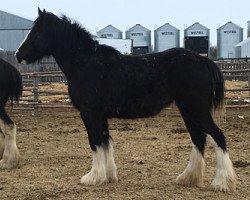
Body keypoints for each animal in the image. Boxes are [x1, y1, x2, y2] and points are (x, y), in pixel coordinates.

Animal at [16, 8, 236, 191]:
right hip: (188, 111)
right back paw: (188, 178)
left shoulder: (89, 113)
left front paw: (93, 177)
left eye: (35, 32)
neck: (87, 63)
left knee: (217, 137)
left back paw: (221, 183)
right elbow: (106, 141)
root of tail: (204, 60)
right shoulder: (100, 116)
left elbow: (95, 142)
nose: (18, 54)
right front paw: (108, 176)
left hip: (196, 111)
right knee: (198, 139)